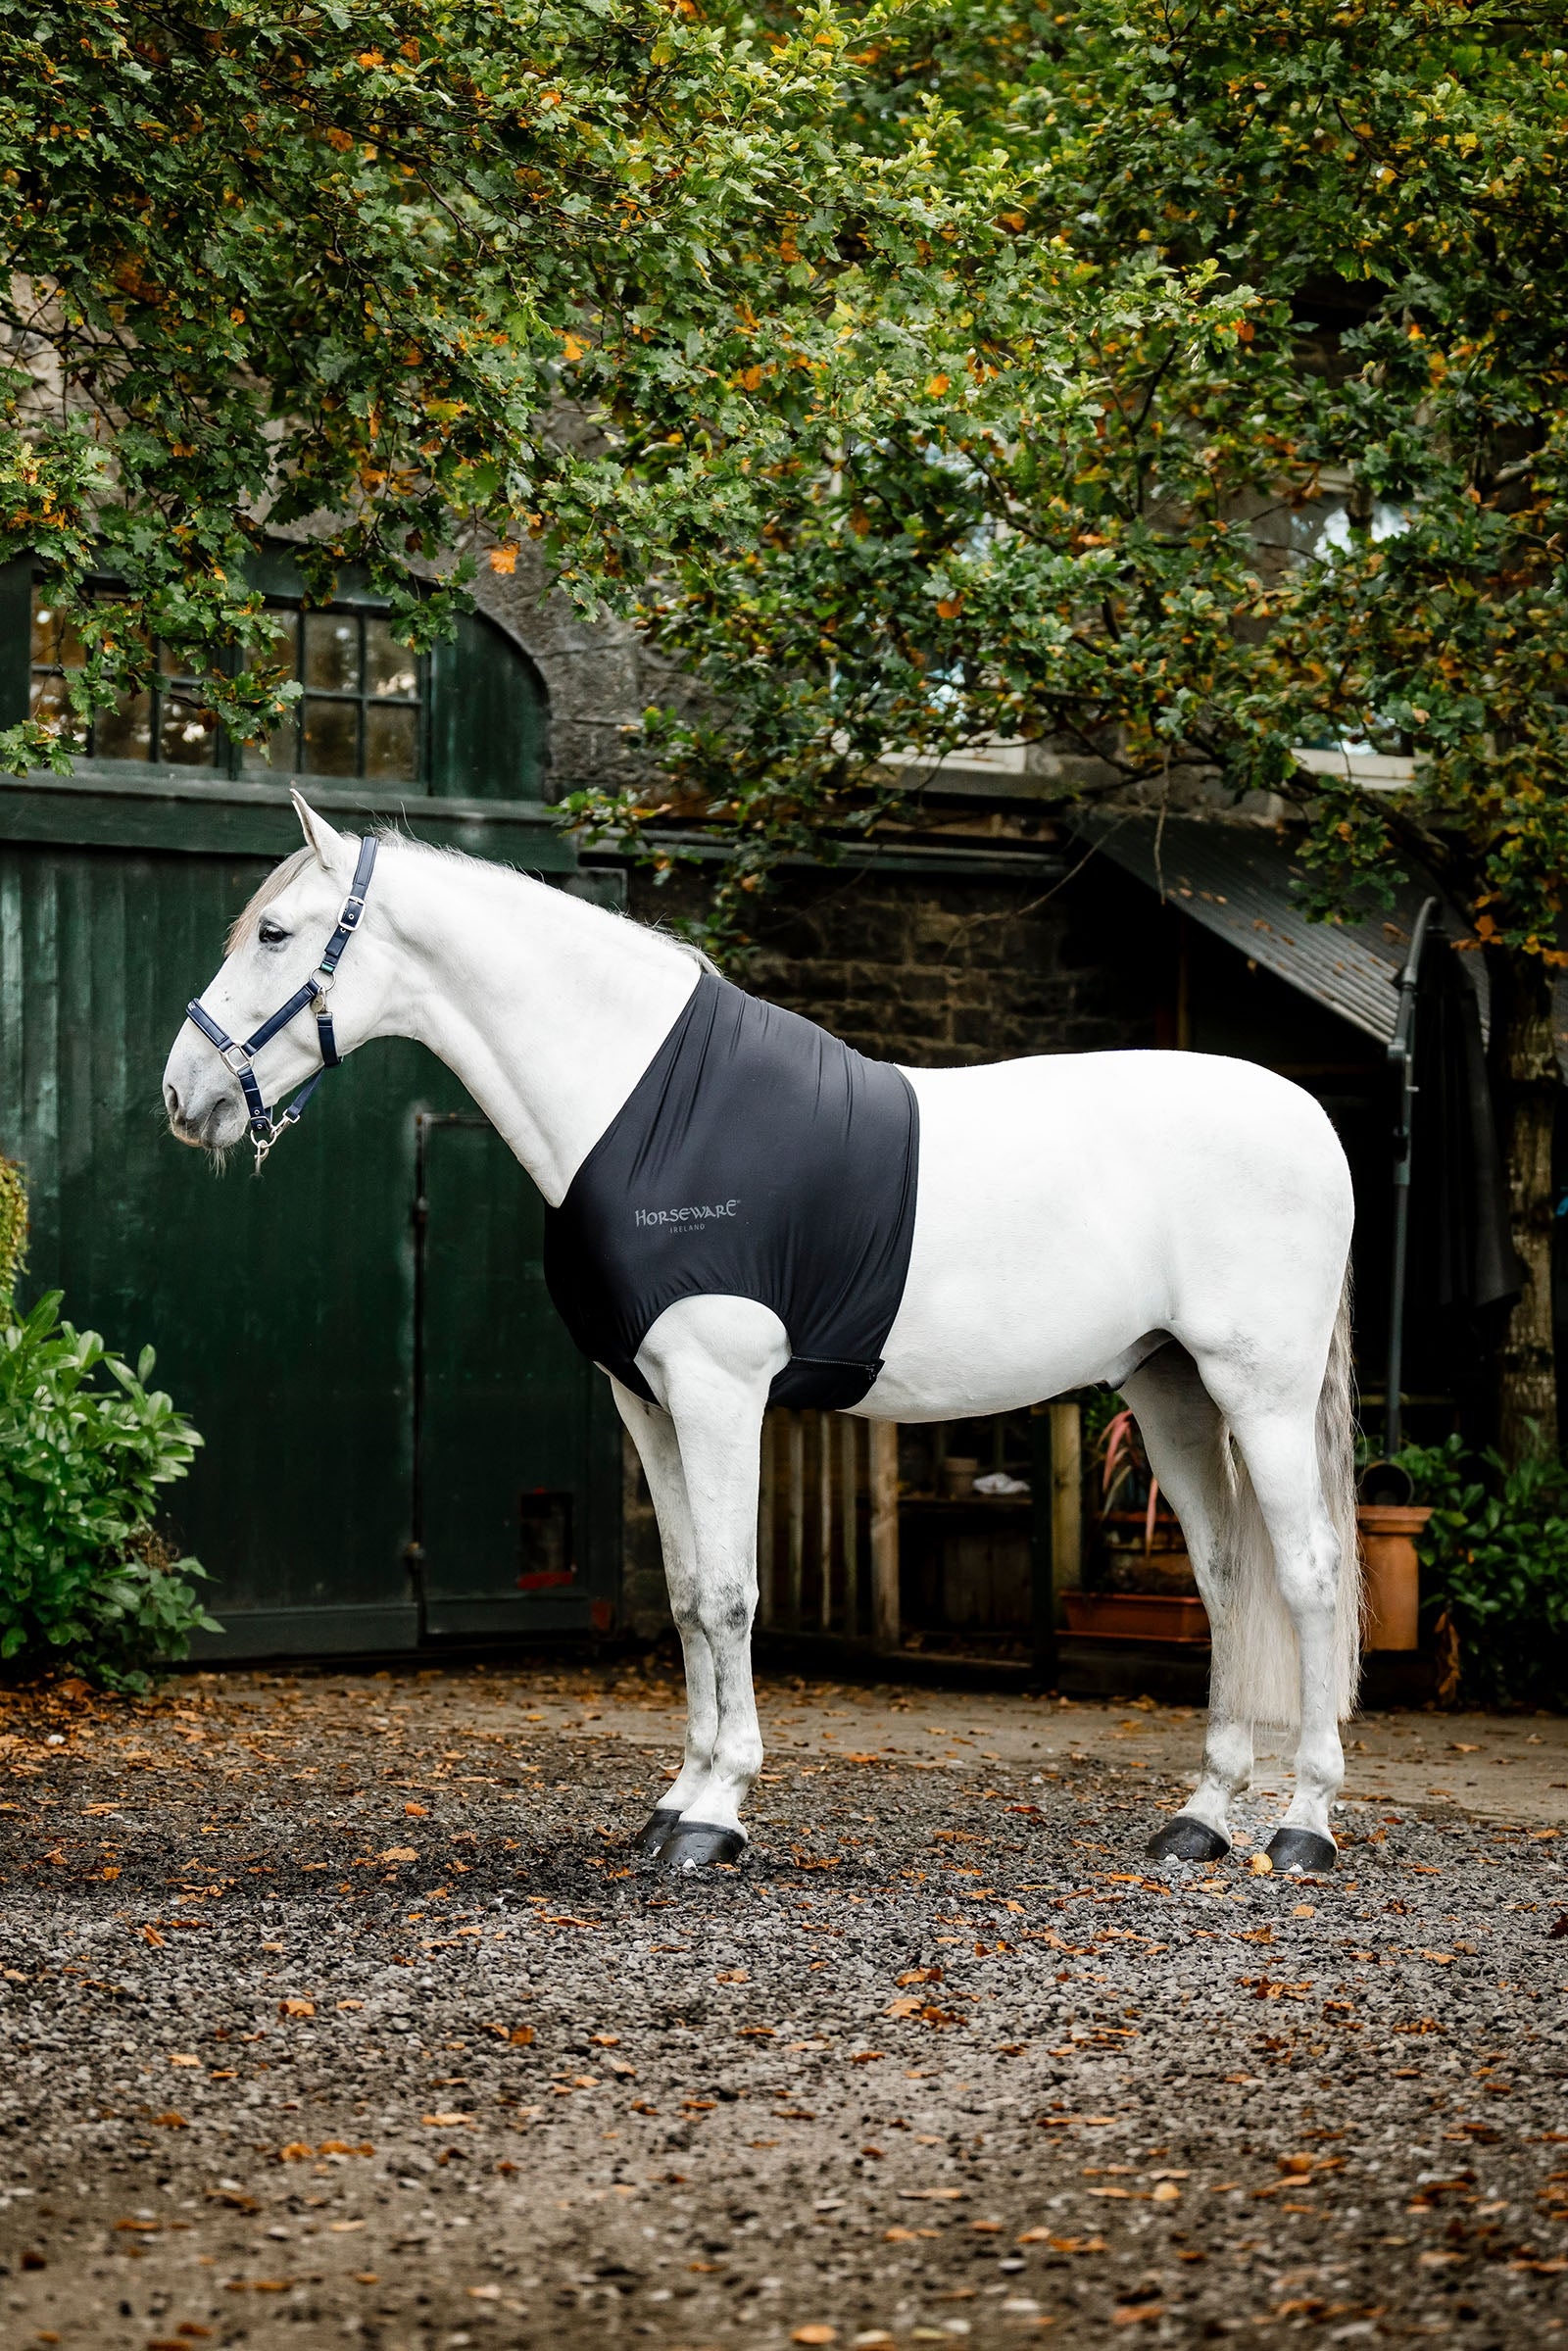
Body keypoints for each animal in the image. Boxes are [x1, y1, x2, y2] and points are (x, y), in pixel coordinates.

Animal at [162, 792, 1360, 1875]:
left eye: (275, 934)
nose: (183, 1094)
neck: (642, 1108)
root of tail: (1310, 1114)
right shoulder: (646, 1400)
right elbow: (692, 1594)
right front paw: (675, 1798)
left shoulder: (720, 1390)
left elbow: (734, 1592)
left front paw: (717, 1814)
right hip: (1169, 1390)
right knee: (1223, 1576)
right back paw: (1202, 1818)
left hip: (1258, 1391)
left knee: (1307, 1575)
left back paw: (1302, 1824)